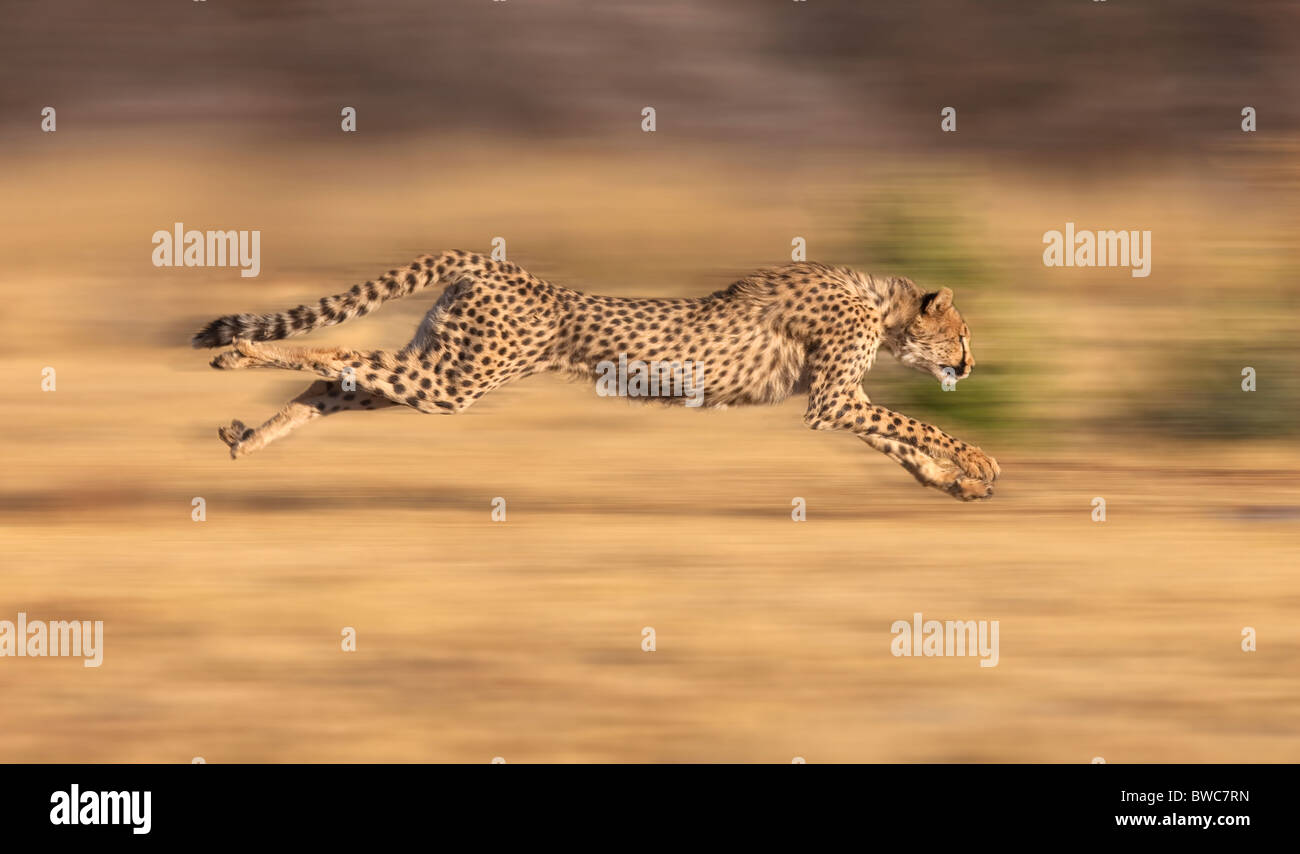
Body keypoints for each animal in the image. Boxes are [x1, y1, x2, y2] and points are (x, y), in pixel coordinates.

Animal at [192, 248, 998, 499]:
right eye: (962, 331)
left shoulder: (837, 399)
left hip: (443, 365)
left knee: (341, 380)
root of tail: (495, 264)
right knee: (340, 355)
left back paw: (247, 430)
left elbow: (895, 439)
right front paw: (979, 460)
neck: (881, 307)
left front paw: (953, 481)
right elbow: (914, 423)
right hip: (456, 380)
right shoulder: (830, 398)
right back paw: (240, 354)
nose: (969, 361)